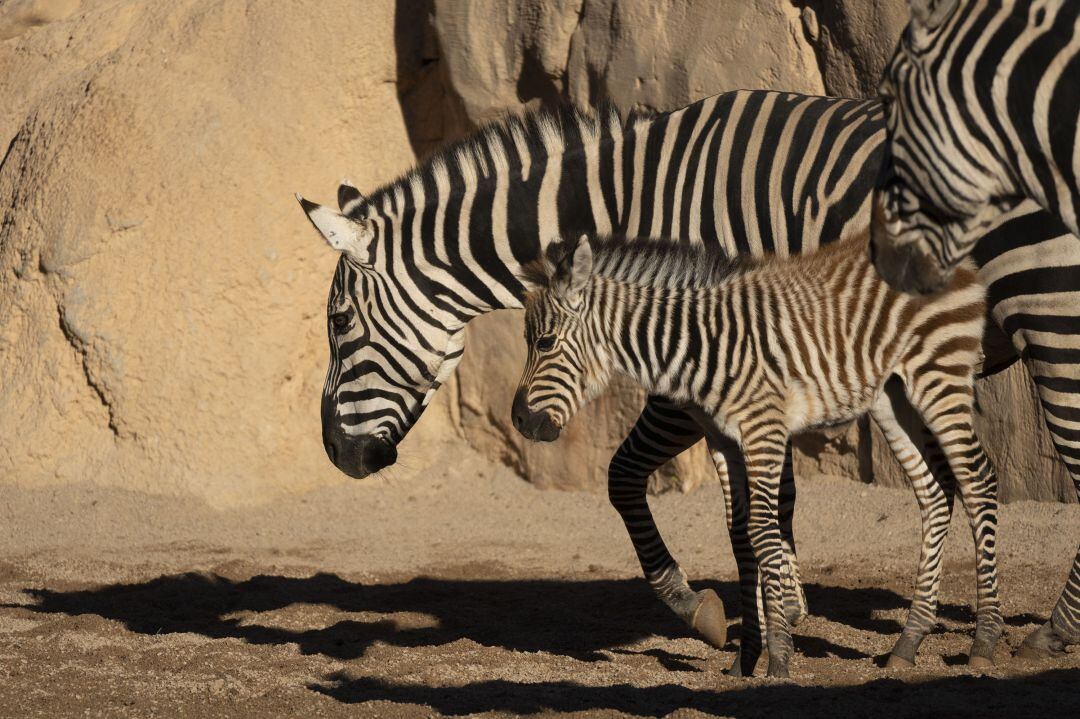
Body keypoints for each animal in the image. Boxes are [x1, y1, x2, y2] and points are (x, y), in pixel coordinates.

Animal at [514, 232, 1002, 673]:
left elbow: (764, 532)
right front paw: (747, 656)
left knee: (978, 481)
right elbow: (739, 534)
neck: (698, 344)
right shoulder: (723, 440)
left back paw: (984, 641)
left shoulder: (762, 430)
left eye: (545, 343)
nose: (519, 420)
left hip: (938, 375)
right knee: (934, 494)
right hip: (893, 396)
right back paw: (908, 642)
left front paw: (779, 659)